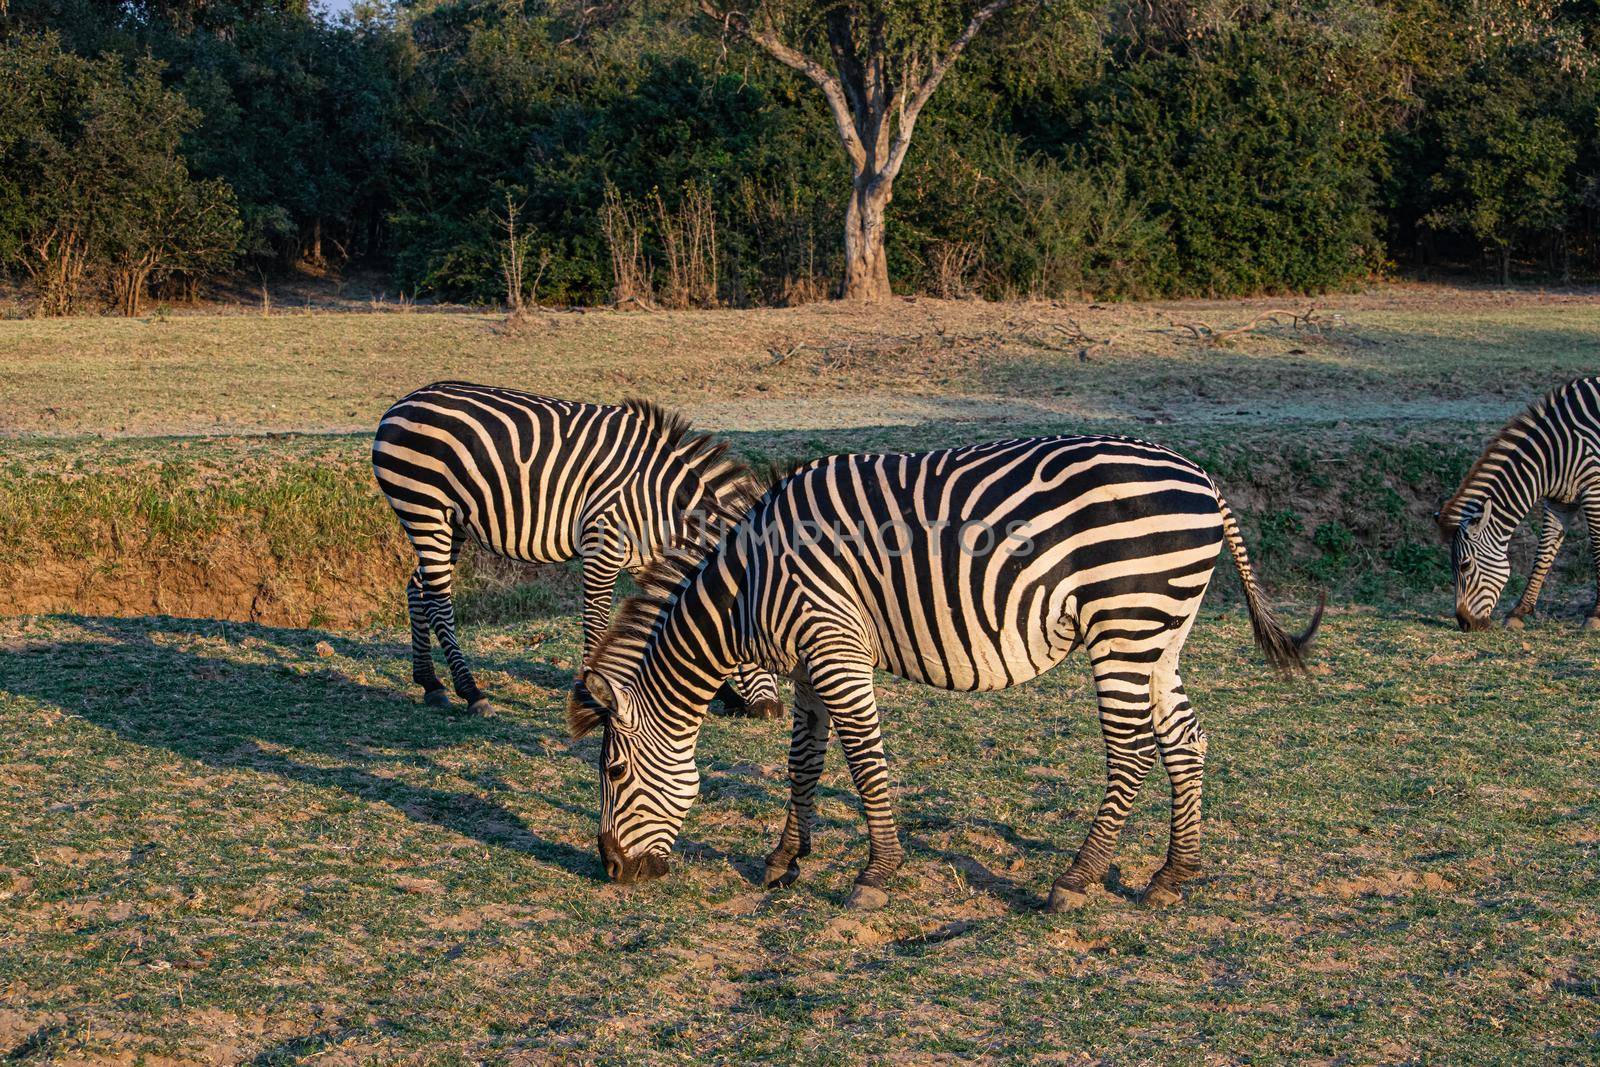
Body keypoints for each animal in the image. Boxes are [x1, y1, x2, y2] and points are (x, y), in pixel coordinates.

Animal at [368, 379, 780, 723]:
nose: (770, 712)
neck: (663, 503)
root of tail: (400, 404)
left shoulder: (642, 558)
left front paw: (721, 693)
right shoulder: (603, 547)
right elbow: (596, 624)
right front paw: (595, 693)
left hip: (450, 524)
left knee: (418, 587)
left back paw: (430, 683)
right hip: (425, 509)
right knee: (439, 599)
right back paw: (471, 692)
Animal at [569, 438, 1318, 915]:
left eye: (612, 772)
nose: (611, 871)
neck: (750, 586)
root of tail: (1203, 479)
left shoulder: (835, 644)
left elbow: (865, 760)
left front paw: (876, 874)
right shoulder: (810, 661)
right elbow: (803, 761)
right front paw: (785, 860)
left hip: (1125, 622)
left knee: (1131, 752)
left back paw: (1076, 879)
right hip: (1161, 631)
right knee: (1185, 740)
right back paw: (1173, 873)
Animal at [1440, 375, 1600, 630]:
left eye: (1465, 565)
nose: (1465, 624)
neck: (1554, 454)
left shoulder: (1593, 490)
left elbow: (1597, 549)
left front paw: (1596, 613)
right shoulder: (1560, 502)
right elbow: (1543, 554)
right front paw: (1519, 612)